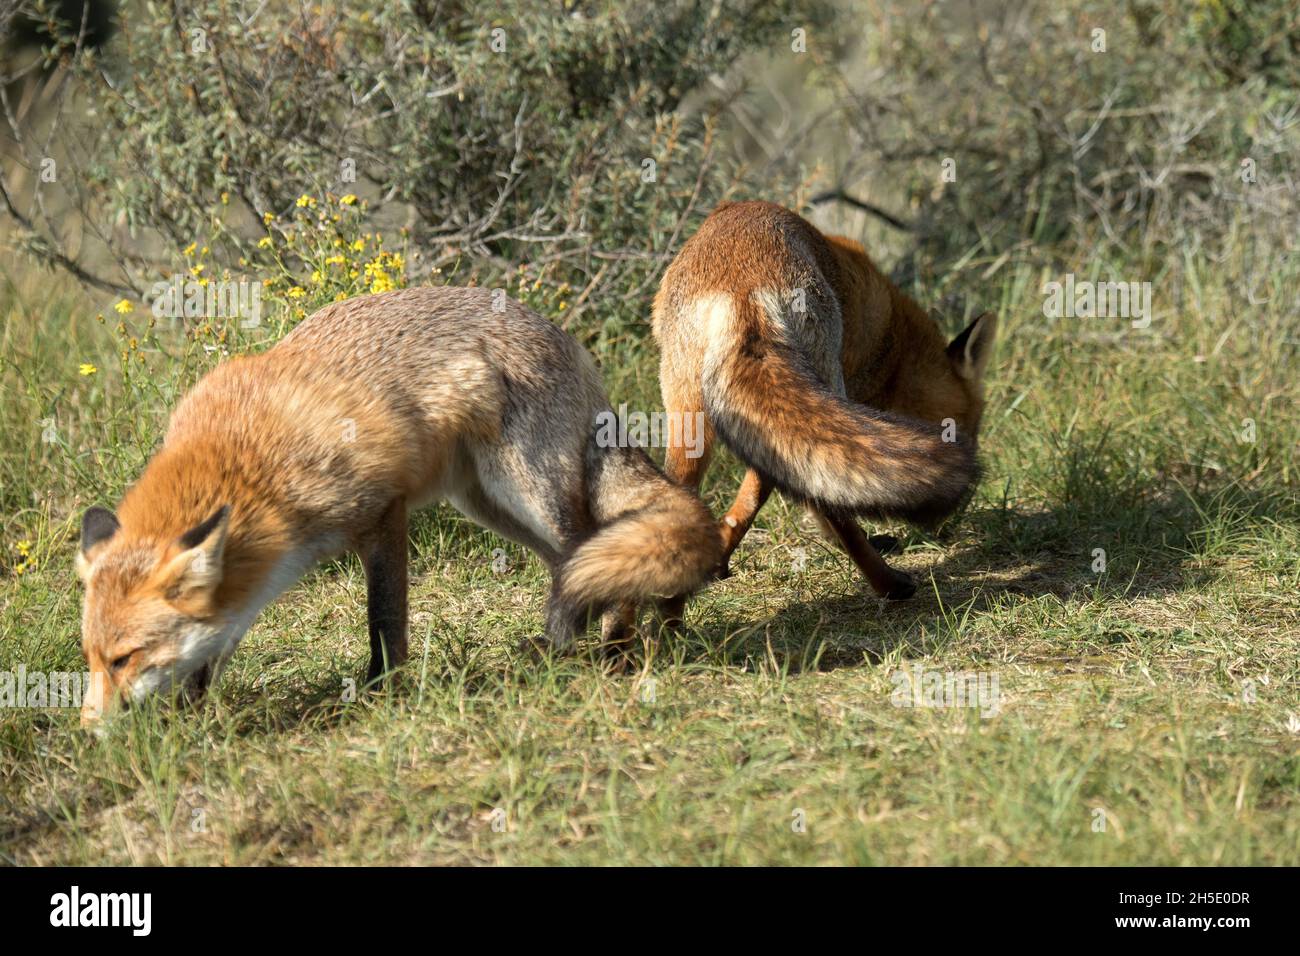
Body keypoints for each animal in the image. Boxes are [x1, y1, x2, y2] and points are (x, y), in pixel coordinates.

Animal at [75, 286, 722, 727]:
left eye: (125, 659)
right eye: (93, 659)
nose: (89, 732)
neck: (248, 459)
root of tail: (562, 336)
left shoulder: (383, 512)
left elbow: (383, 618)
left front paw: (383, 691)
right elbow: (212, 650)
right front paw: (193, 717)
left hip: (525, 488)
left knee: (594, 547)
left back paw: (613, 654)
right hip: (488, 504)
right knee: (575, 564)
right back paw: (559, 649)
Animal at [652, 200, 997, 614]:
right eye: (973, 430)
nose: (954, 521)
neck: (892, 343)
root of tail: (743, 285)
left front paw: (719, 556)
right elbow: (796, 490)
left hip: (688, 415)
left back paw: (666, 618)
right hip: (822, 377)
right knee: (831, 502)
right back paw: (889, 585)